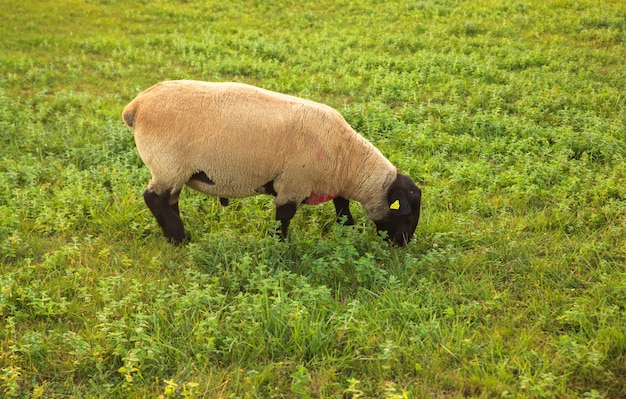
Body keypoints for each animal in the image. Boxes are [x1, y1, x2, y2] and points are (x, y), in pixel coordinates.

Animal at [119, 79, 422, 245]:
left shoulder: (331, 186)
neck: (347, 162)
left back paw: (176, 236)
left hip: (173, 170)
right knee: (155, 199)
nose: (402, 244)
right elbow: (283, 218)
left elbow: (343, 210)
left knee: (169, 200)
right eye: (406, 214)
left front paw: (347, 232)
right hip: (167, 164)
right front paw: (279, 245)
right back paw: (180, 240)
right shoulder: (292, 185)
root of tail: (136, 106)